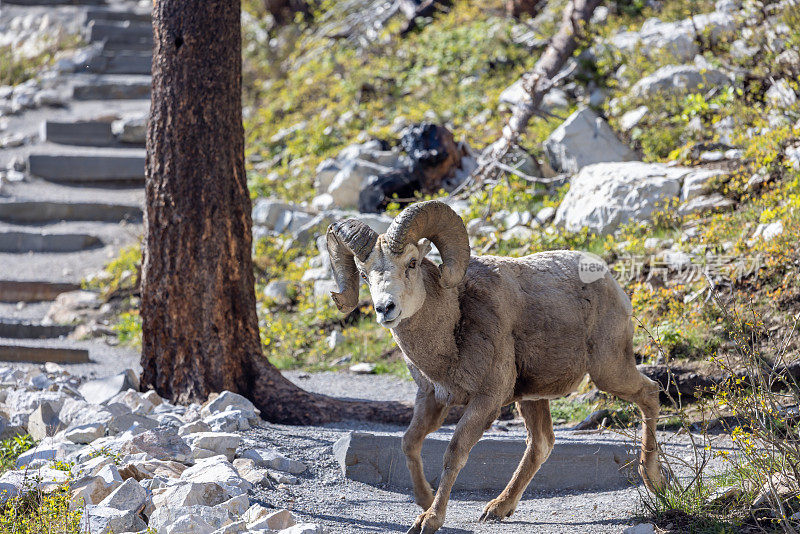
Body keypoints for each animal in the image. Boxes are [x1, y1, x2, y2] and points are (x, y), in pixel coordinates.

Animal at [324, 202, 664, 534]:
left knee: (650, 393)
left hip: (609, 370)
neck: (452, 328)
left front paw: (431, 519)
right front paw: (423, 503)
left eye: (411, 263)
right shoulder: (432, 399)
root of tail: (610, 282)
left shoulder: (486, 401)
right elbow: (409, 443)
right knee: (541, 443)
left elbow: (454, 453)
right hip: (532, 398)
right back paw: (498, 509)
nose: (385, 309)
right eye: (364, 275)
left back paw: (655, 482)